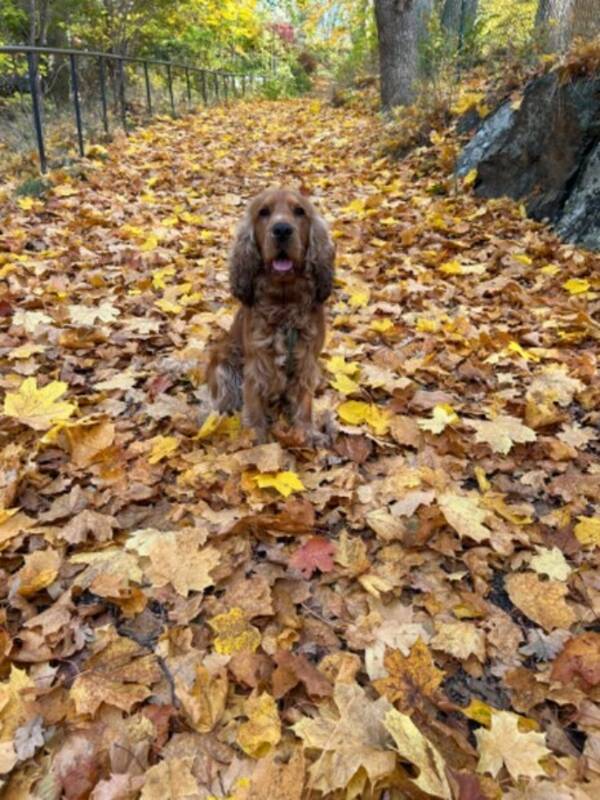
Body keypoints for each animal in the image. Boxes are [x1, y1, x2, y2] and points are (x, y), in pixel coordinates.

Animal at [207, 188, 336, 444]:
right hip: (224, 360)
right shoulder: (257, 364)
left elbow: (305, 403)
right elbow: (254, 408)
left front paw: (307, 433)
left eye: (299, 211)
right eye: (263, 212)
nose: (282, 229)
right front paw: (257, 440)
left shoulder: (307, 361)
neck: (284, 303)